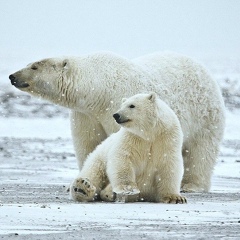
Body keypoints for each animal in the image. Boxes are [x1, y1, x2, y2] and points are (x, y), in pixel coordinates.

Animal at [7, 51, 225, 192]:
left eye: (34, 66)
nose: (11, 76)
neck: (98, 89)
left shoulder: (117, 104)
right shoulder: (86, 114)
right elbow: (89, 144)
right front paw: (82, 182)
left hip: (204, 115)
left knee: (200, 151)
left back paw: (191, 186)